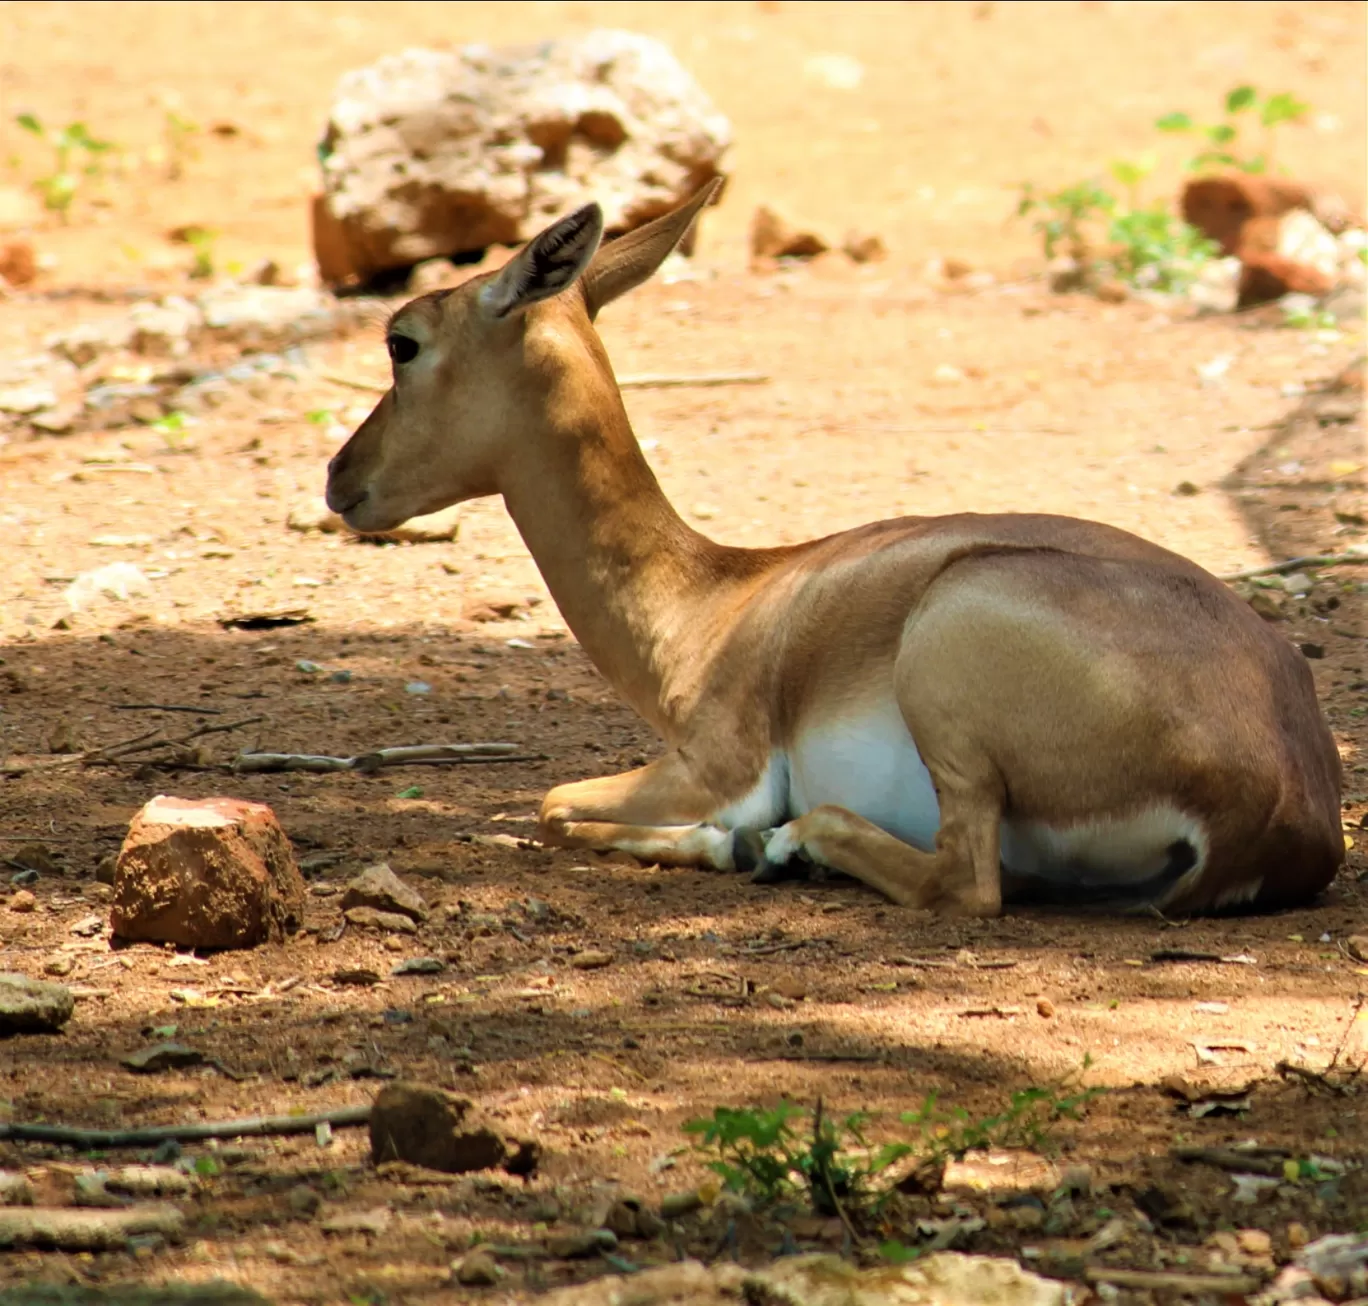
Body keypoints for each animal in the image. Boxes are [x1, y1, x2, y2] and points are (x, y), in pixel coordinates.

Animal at [325, 181, 1340, 918]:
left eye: (402, 341)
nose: (341, 477)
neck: (720, 604)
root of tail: (1281, 801)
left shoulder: (711, 768)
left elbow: (552, 805)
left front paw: (740, 843)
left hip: (949, 665)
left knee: (968, 883)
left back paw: (790, 846)